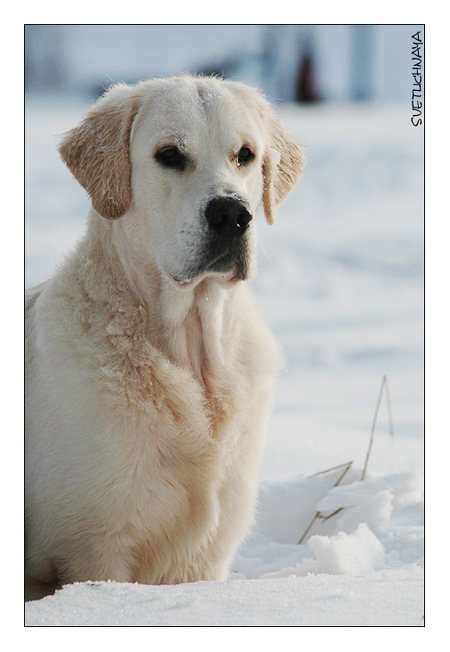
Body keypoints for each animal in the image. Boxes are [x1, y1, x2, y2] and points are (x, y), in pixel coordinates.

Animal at [25, 76, 306, 600]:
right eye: (170, 155)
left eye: (245, 154)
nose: (232, 215)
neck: (192, 350)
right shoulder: (94, 546)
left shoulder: (205, 556)